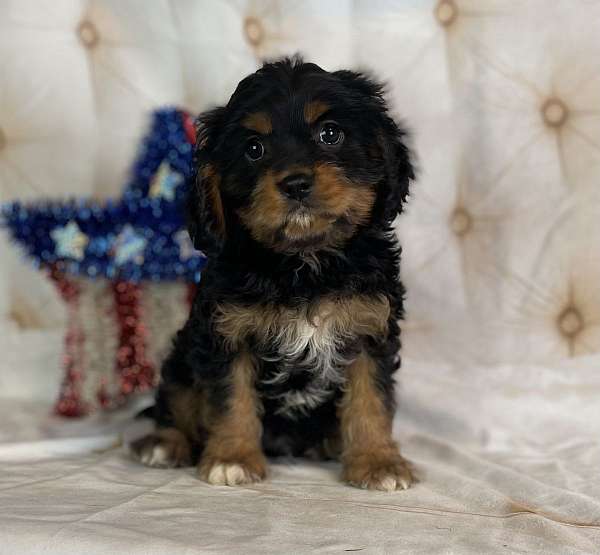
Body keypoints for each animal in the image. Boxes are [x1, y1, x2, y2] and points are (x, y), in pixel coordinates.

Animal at [132, 56, 414, 490]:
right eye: (254, 149)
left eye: (330, 134)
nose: (295, 183)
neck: (304, 262)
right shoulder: (228, 333)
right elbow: (232, 399)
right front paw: (231, 457)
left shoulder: (370, 329)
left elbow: (372, 399)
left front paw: (378, 461)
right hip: (181, 358)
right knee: (176, 400)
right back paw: (165, 444)